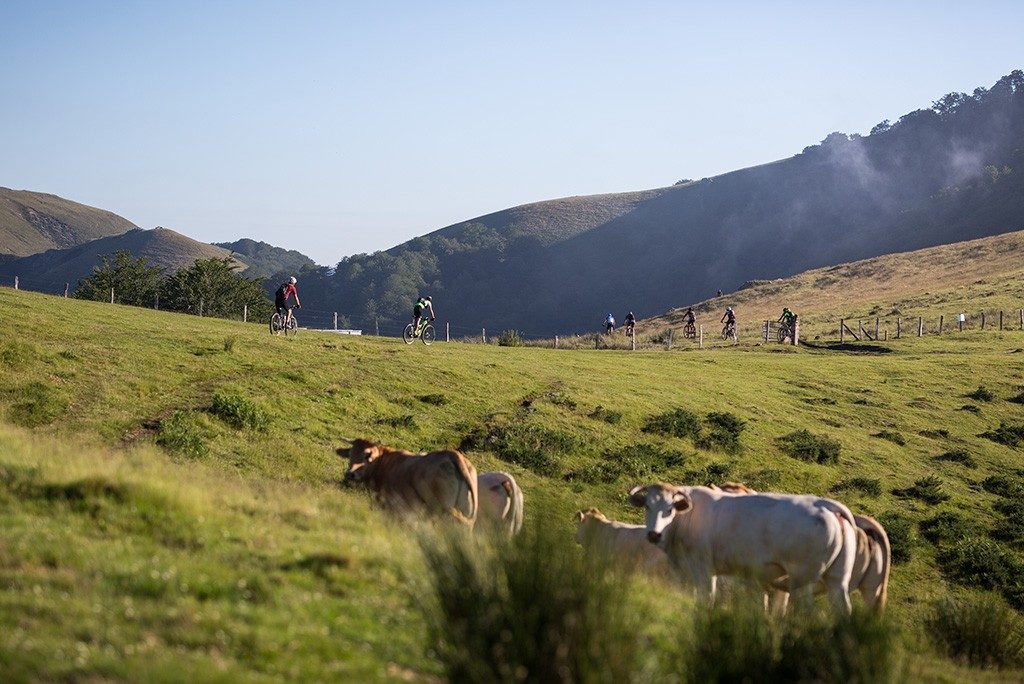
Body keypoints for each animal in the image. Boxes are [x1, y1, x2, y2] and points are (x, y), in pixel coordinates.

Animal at [630, 483, 856, 610]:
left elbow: (705, 597)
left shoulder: (703, 568)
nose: (654, 534)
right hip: (837, 581)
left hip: (802, 579)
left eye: (670, 509)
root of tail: (825, 504)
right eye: (647, 506)